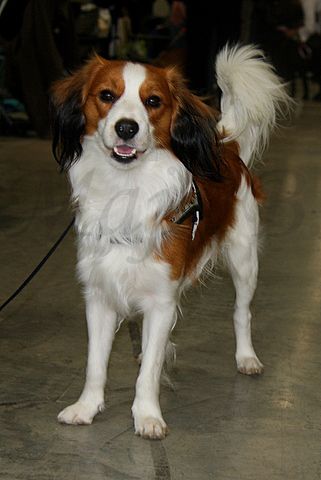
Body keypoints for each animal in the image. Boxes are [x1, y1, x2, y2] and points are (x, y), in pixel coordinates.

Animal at [50, 45, 290, 438]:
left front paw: (147, 416)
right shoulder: (99, 296)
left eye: (153, 101)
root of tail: (226, 147)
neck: (126, 188)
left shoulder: (161, 302)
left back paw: (246, 357)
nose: (126, 128)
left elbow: (149, 373)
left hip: (244, 261)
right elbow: (95, 363)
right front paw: (86, 407)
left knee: (242, 311)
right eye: (106, 96)